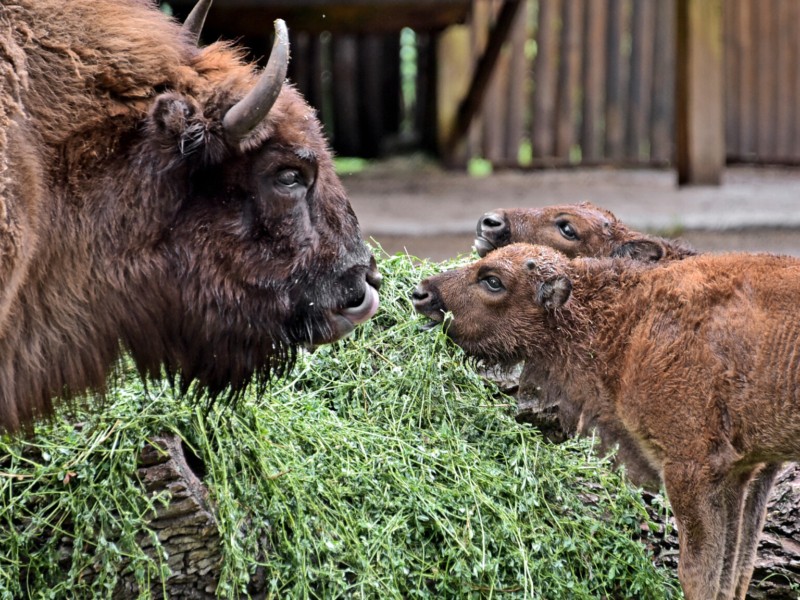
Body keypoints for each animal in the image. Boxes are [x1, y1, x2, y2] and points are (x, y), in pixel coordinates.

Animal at [412, 244, 800, 600]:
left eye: (493, 280)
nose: (421, 293)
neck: (628, 323)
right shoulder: (743, 472)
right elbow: (734, 572)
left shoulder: (691, 467)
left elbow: (699, 574)